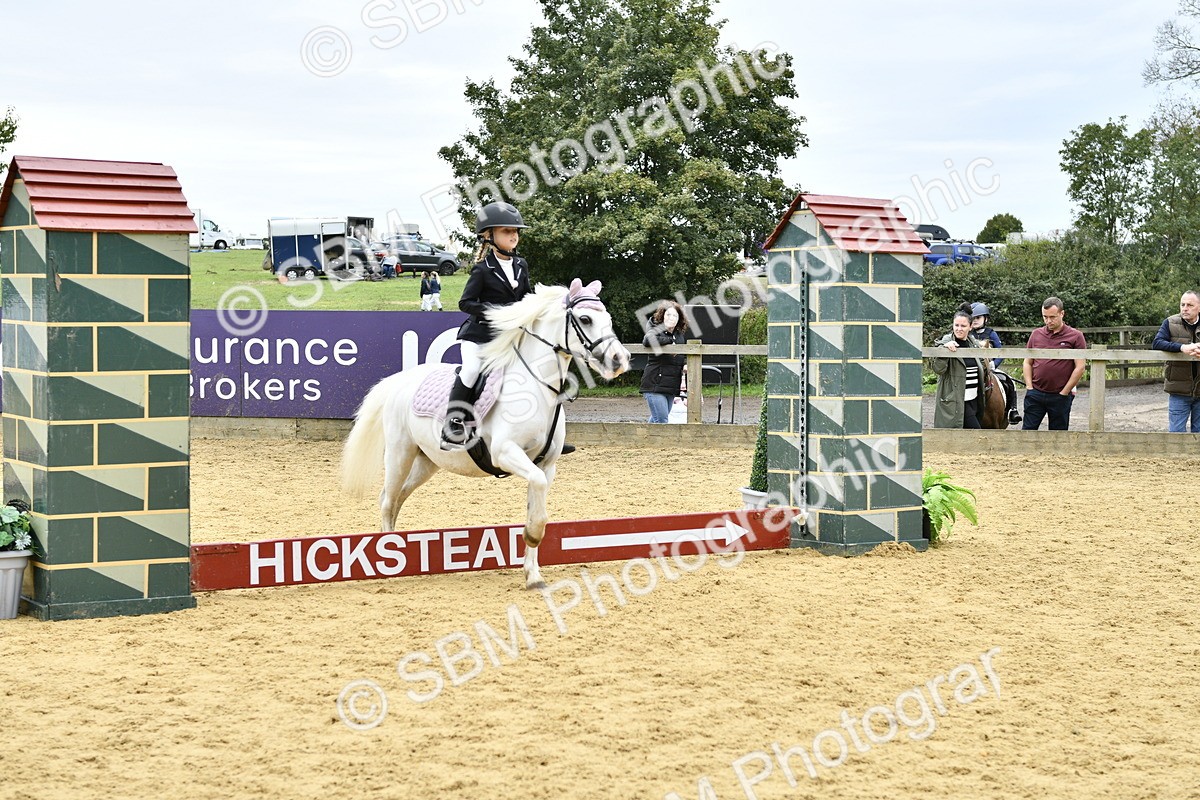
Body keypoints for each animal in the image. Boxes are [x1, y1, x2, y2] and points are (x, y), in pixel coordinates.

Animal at [341, 279, 632, 589]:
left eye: (608, 319)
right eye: (586, 319)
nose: (620, 359)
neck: (538, 388)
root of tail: (400, 380)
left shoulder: (545, 466)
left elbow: (536, 509)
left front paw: (533, 575)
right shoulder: (506, 453)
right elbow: (536, 507)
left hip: (426, 462)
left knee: (398, 498)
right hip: (399, 454)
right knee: (387, 500)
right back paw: (389, 558)